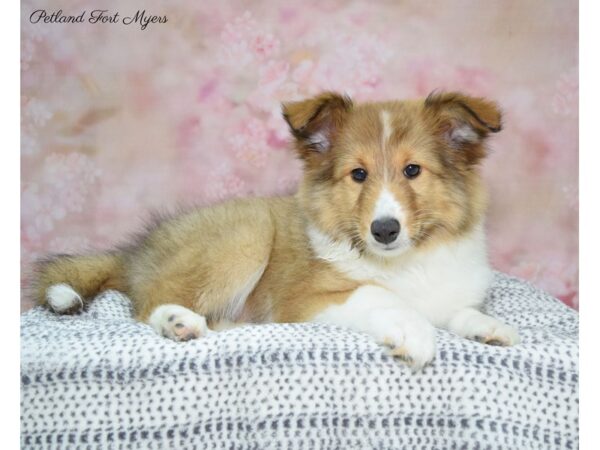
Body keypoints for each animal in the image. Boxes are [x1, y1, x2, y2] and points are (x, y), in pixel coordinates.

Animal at [32, 91, 520, 370]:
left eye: (413, 170)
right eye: (358, 175)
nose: (384, 230)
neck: (406, 262)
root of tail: (136, 251)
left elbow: (454, 310)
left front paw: (487, 326)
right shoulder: (307, 298)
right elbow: (380, 295)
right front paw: (412, 333)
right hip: (244, 236)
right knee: (147, 305)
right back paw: (179, 322)